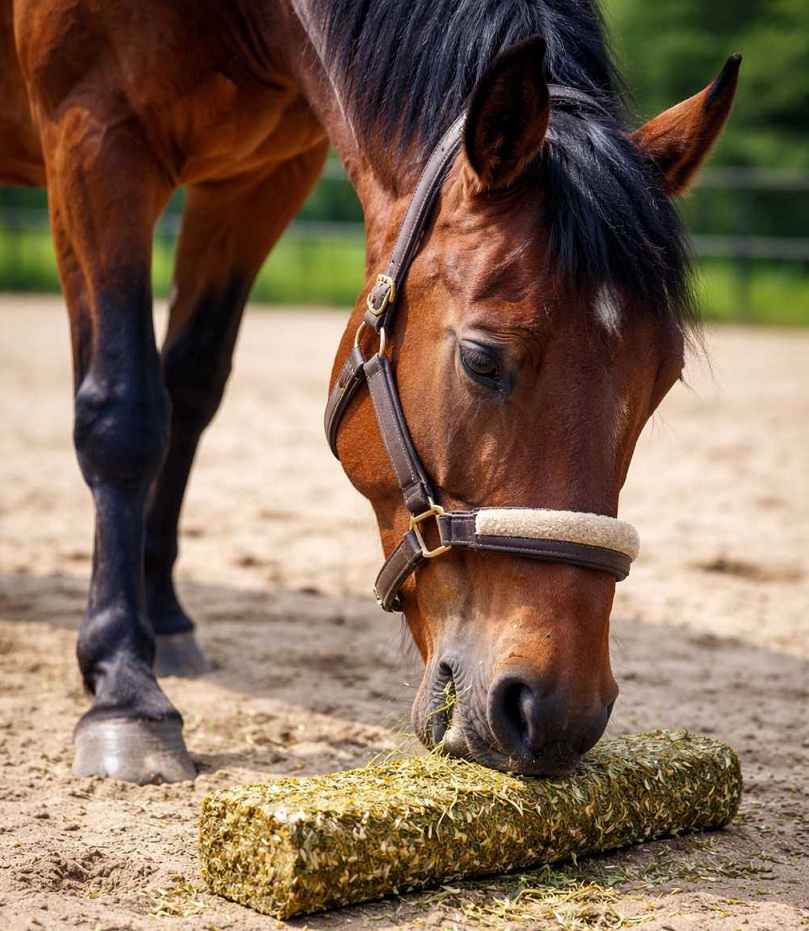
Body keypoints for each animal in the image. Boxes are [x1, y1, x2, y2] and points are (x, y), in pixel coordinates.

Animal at [0, 0, 739, 784]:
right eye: (481, 359)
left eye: (663, 378)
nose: (556, 713)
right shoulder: (92, 137)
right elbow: (125, 414)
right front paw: (124, 687)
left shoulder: (258, 179)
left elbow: (191, 388)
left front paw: (162, 618)